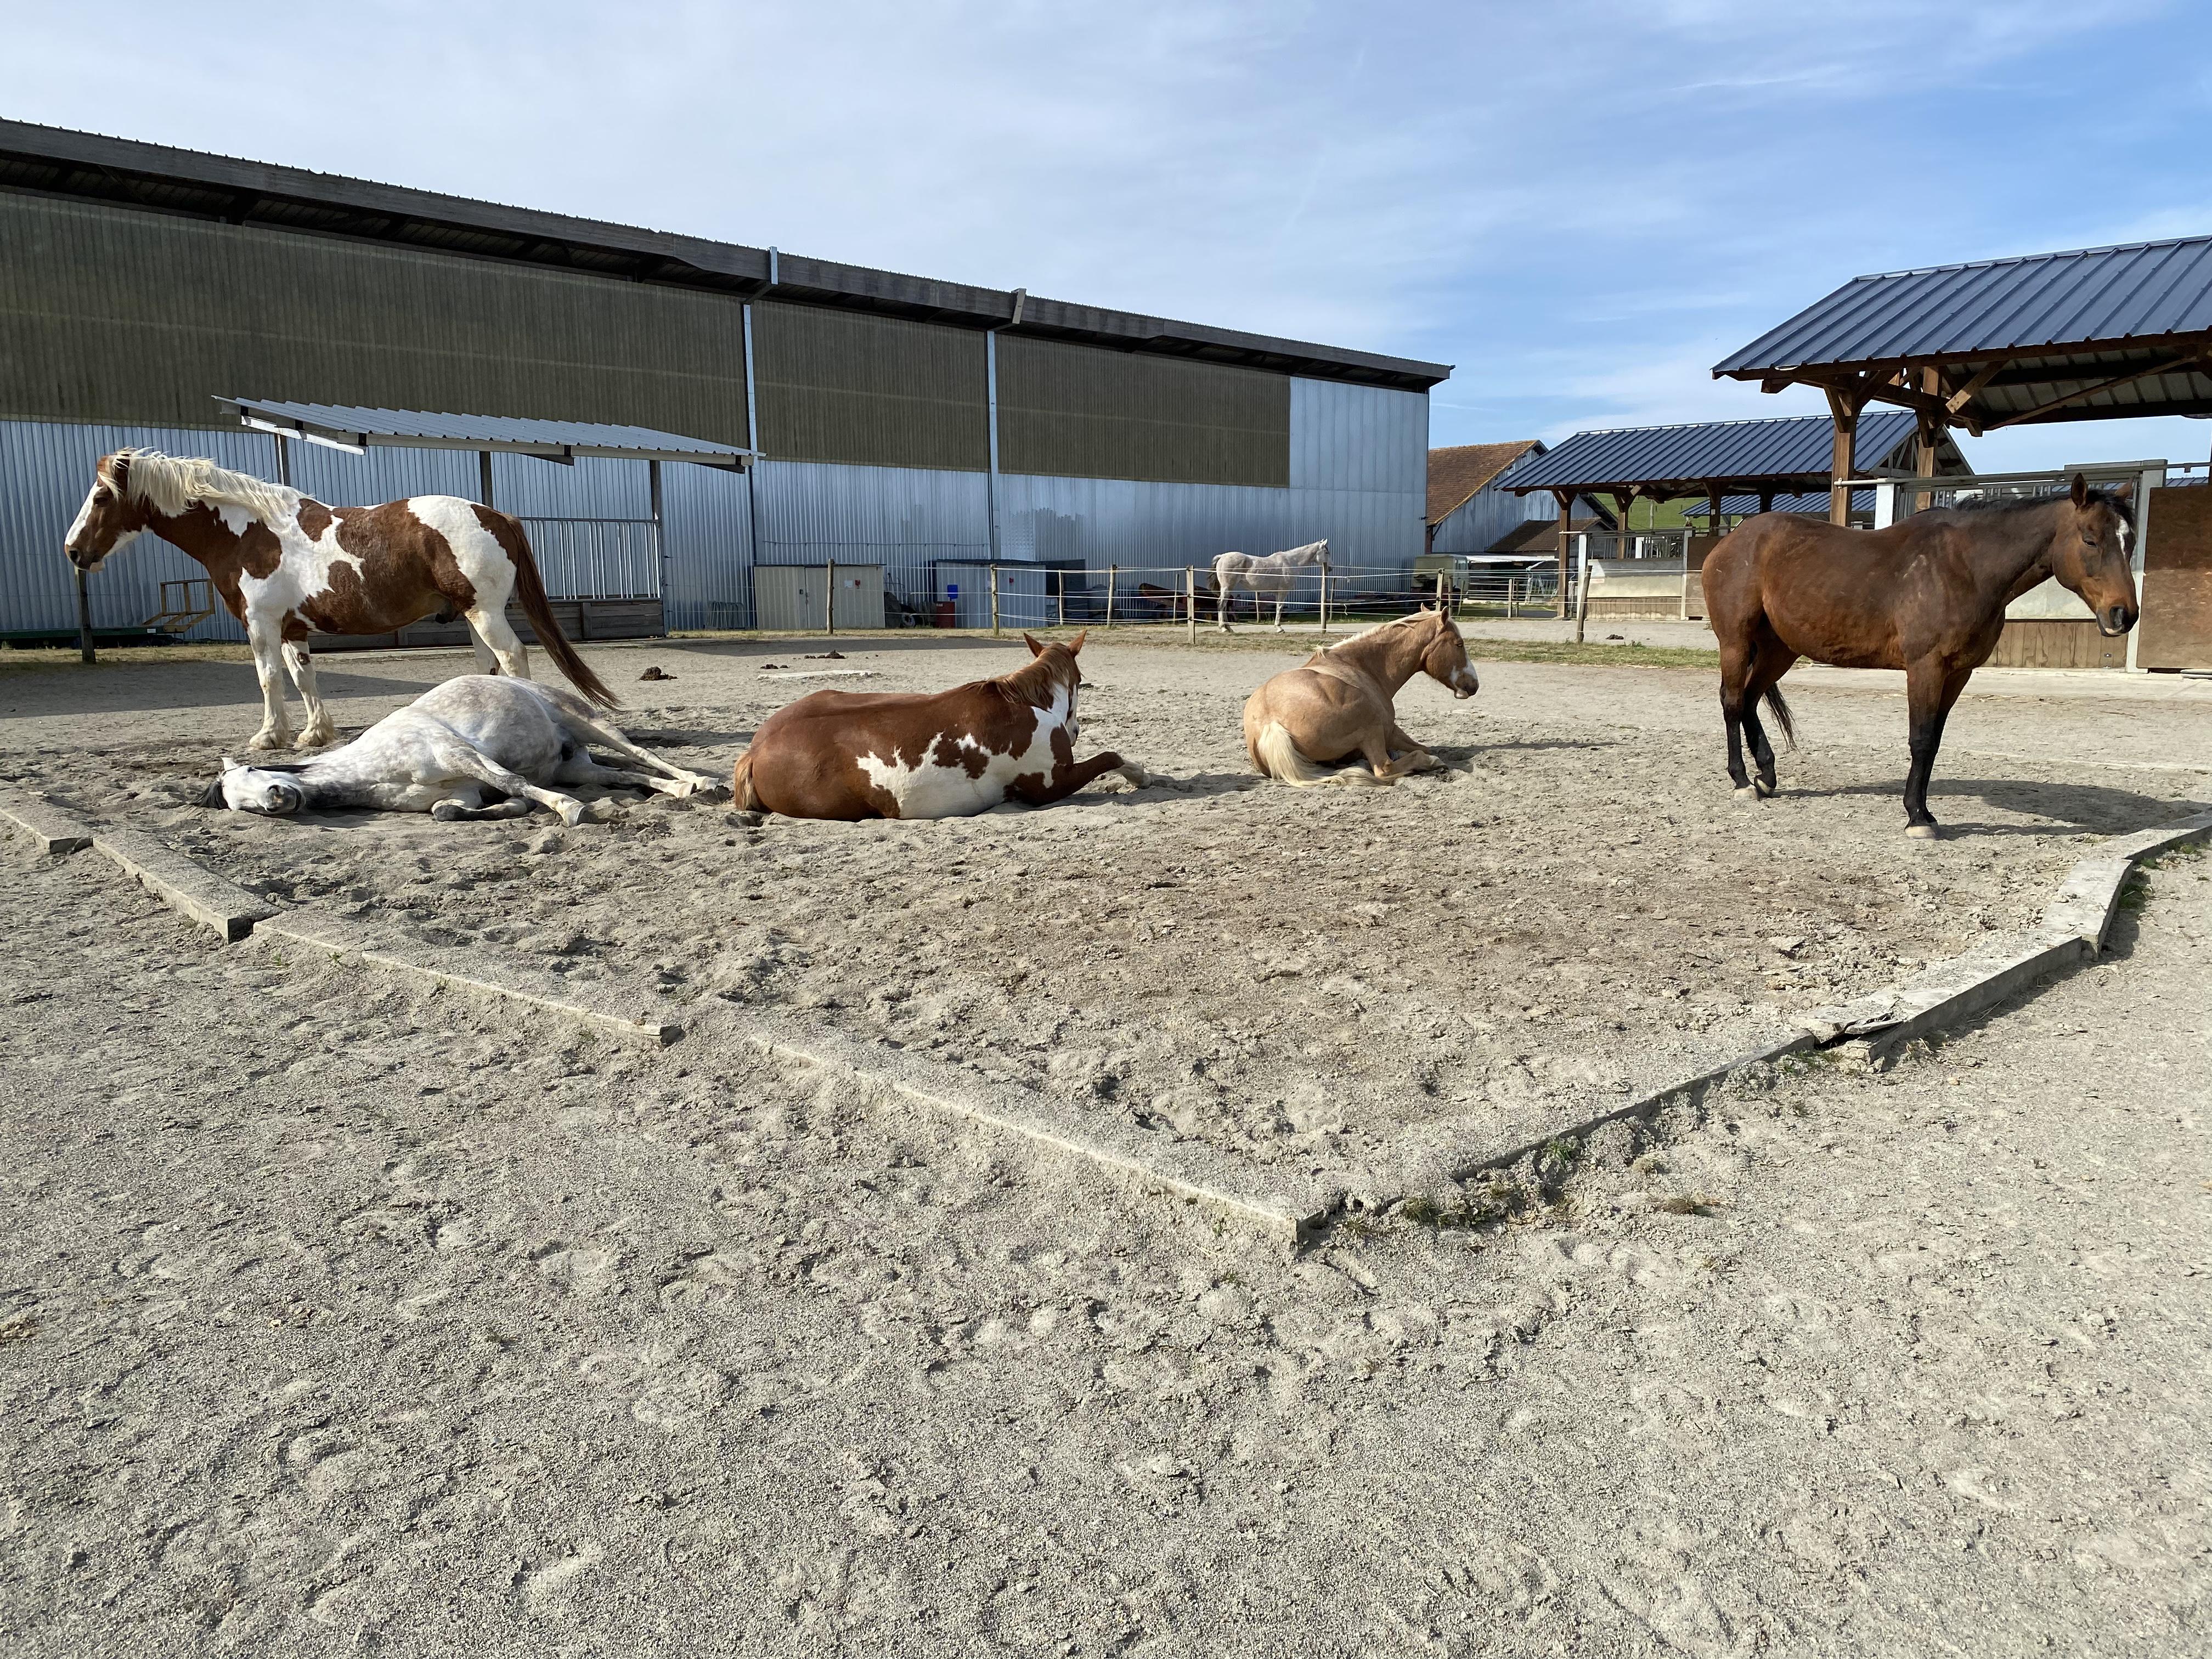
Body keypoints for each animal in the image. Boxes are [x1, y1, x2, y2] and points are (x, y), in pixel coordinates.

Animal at [65, 444, 619, 752]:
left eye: (100, 496)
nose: (73, 551)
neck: (247, 532)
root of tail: (495, 514)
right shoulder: (292, 629)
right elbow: (303, 678)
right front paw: (314, 734)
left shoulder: (261, 624)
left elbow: (268, 680)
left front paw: (269, 736)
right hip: (472, 615)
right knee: (487, 668)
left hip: (484, 612)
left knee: (514, 658)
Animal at [204, 676, 712, 832]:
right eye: (238, 805)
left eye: (251, 769)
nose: (275, 798)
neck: (373, 770)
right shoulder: (465, 788)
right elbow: (449, 811)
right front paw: (511, 810)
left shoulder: (459, 755)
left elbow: (512, 782)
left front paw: (571, 812)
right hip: (575, 767)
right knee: (632, 779)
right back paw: (680, 790)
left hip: (589, 723)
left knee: (643, 757)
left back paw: (703, 782)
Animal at [738, 633, 1159, 822]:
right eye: (1081, 680)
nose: (1074, 732)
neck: (1024, 704)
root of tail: (756, 750)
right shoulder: (1052, 786)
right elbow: (1110, 757)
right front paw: (1142, 776)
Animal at [1238, 606, 1477, 792]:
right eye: (1459, 644)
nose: (1474, 685)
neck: (1360, 665)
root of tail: (1271, 723)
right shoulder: (1389, 730)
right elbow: (1422, 749)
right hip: (1371, 726)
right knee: (1385, 769)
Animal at [1699, 477, 2132, 845]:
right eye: (2091, 540)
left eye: (2129, 541)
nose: (2123, 614)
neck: (1965, 567)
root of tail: (1731, 542)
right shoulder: (1926, 668)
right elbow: (1920, 739)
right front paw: (1917, 818)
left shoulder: (1958, 673)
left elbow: (1935, 742)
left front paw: (1925, 812)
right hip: (1736, 643)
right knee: (1733, 701)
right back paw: (1742, 781)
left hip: (1780, 649)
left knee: (1750, 698)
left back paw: (1766, 777)